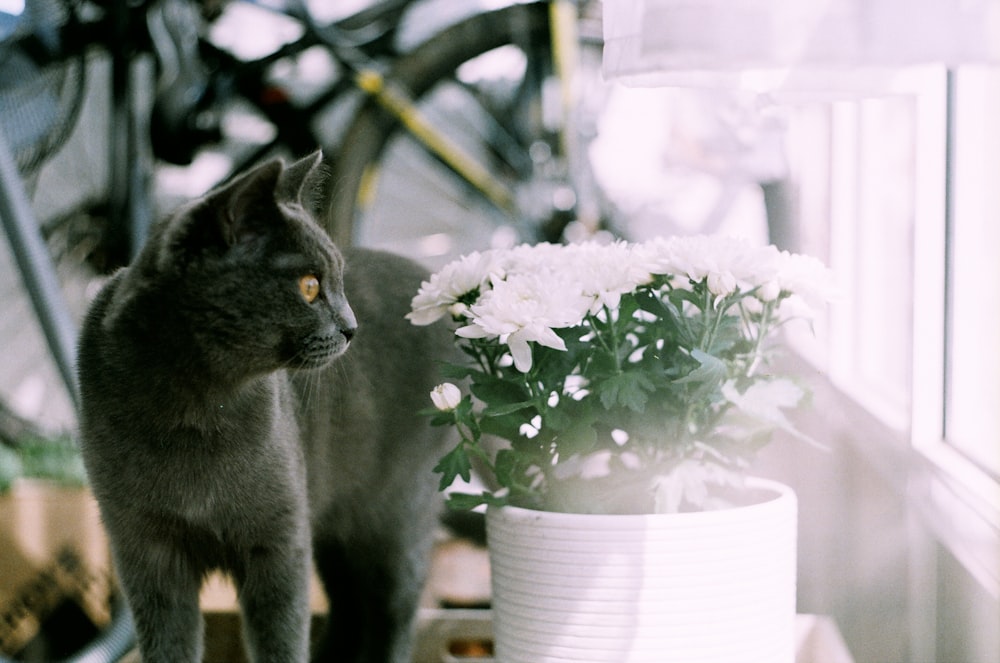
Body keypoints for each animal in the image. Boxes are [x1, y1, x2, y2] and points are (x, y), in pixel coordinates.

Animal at [78, 154, 454, 663]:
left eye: (338, 278)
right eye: (310, 286)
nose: (352, 327)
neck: (195, 405)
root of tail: (441, 297)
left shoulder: (279, 542)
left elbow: (282, 638)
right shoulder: (145, 550)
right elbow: (169, 641)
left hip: (397, 510)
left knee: (393, 610)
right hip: (335, 523)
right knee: (351, 607)